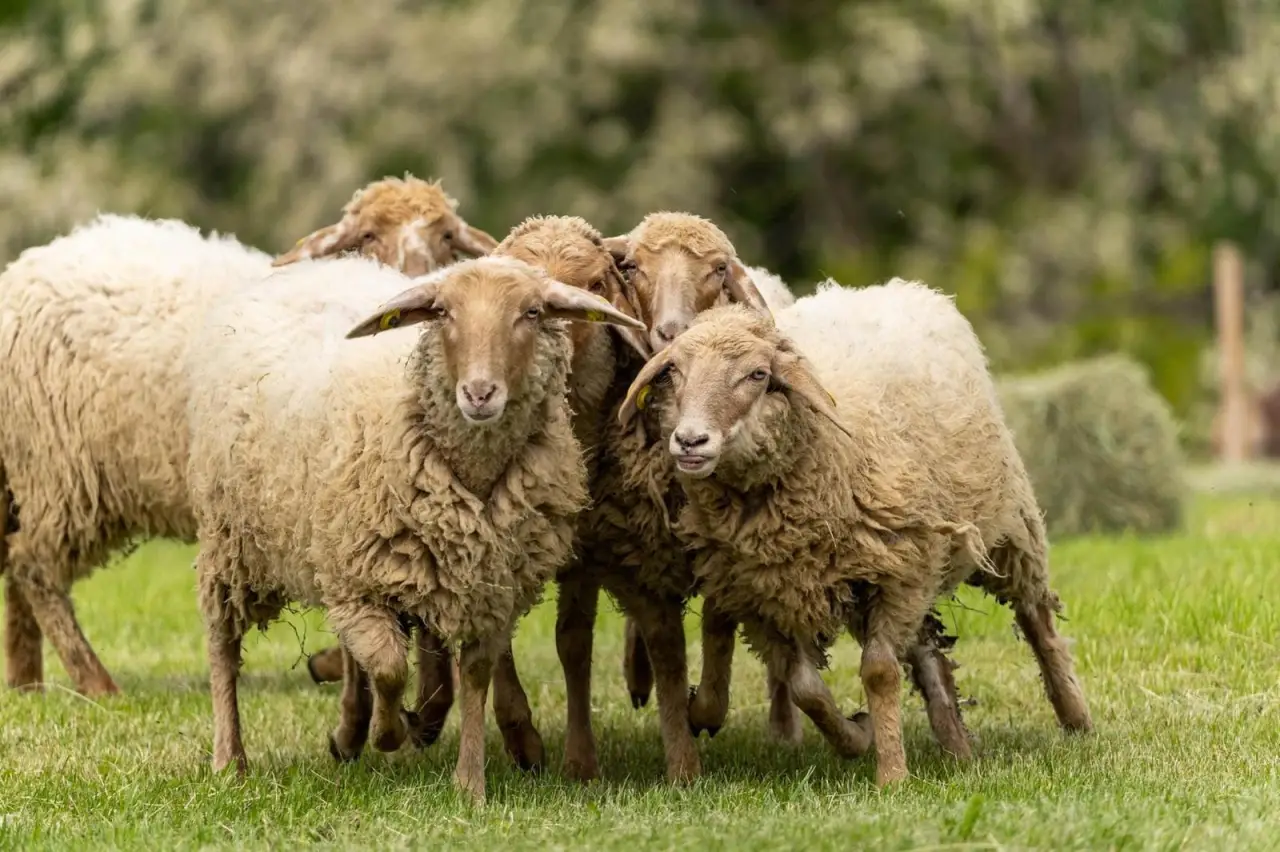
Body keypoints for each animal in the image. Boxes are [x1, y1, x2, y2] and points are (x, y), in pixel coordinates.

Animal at [0, 175, 494, 697]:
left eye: (446, 236)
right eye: (367, 235)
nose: (418, 280)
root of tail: (19, 273)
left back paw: (26, 681)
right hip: (60, 469)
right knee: (33, 565)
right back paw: (95, 683)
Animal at [186, 253, 645, 802]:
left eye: (532, 312)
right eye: (443, 312)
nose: (479, 393)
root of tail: (316, 267)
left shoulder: (492, 592)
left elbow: (474, 675)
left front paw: (469, 784)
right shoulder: (358, 584)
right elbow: (389, 667)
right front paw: (389, 733)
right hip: (232, 544)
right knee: (222, 647)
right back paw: (229, 760)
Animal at [615, 280, 1094, 786]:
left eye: (758, 375)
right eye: (674, 373)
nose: (690, 442)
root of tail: (892, 287)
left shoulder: (901, 574)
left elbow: (880, 672)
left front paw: (893, 775)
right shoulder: (767, 596)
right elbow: (806, 689)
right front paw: (856, 737)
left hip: (1009, 527)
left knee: (1035, 617)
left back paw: (1075, 716)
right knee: (928, 653)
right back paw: (956, 744)